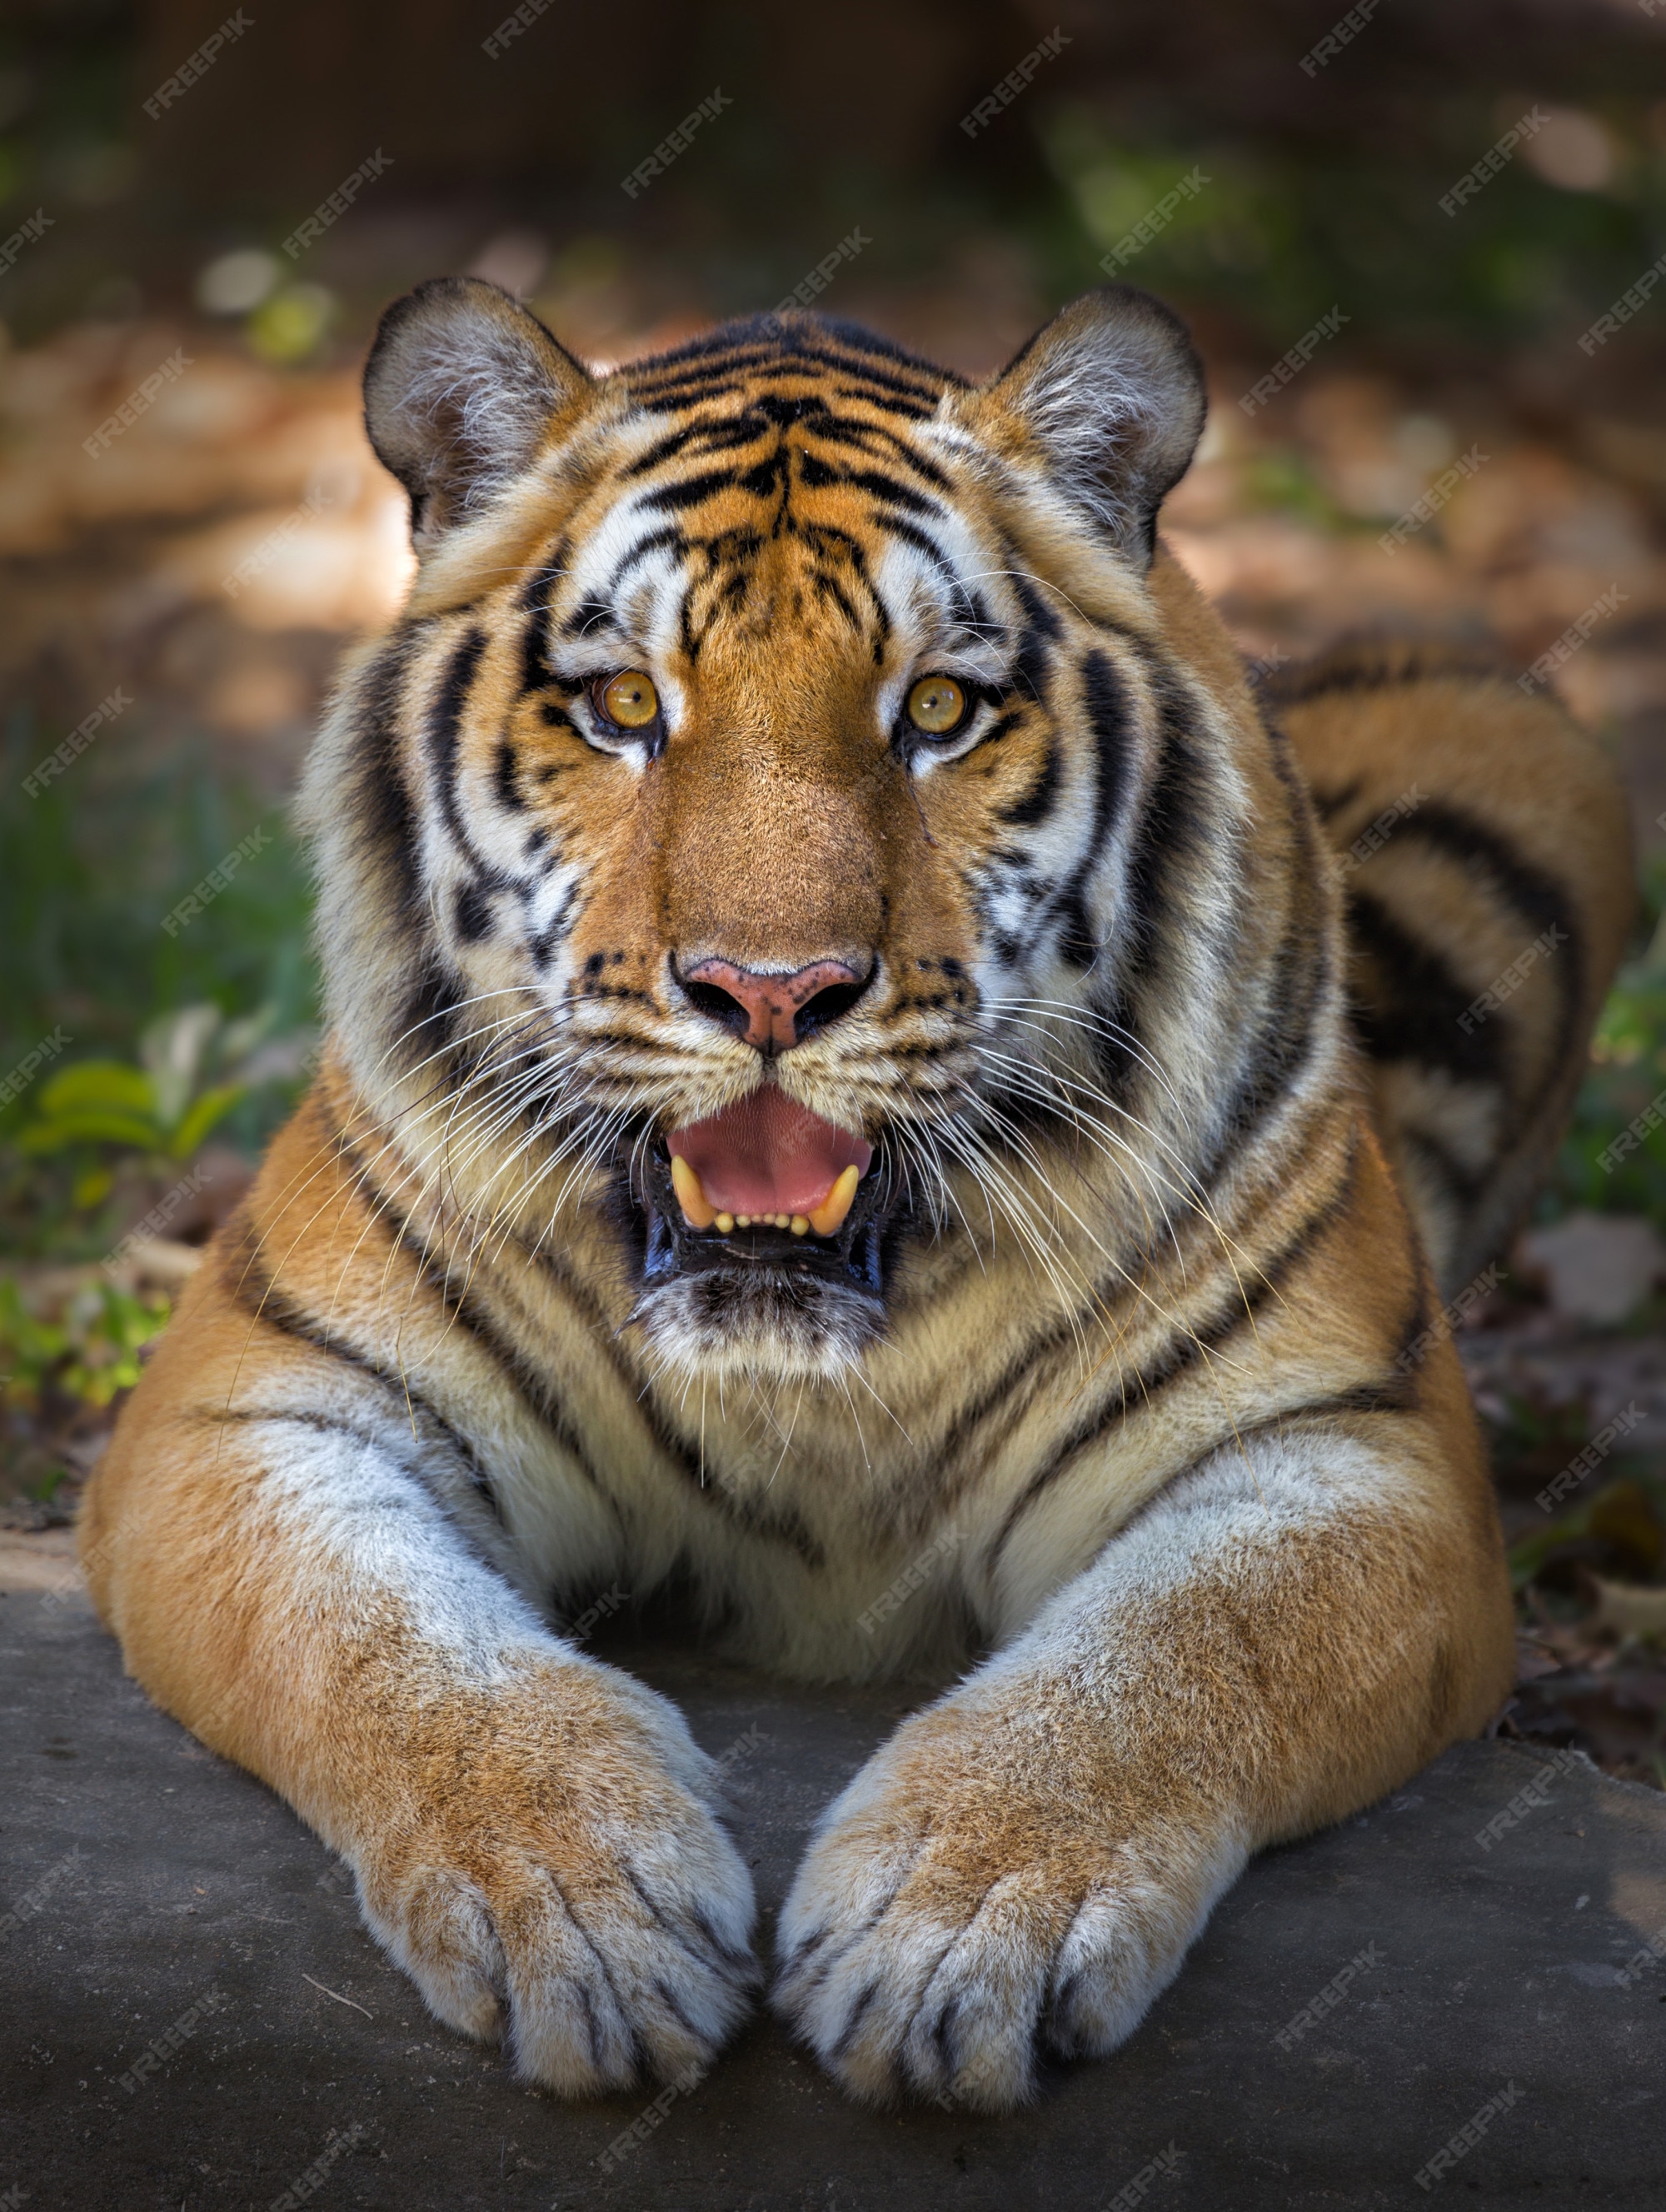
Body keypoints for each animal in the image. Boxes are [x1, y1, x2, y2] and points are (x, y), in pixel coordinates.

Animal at [77, 276, 1628, 2105]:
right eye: (623, 706)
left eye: (938, 712)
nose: (770, 991)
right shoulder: (255, 1411)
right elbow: (391, 1652)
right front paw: (587, 1908)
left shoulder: (1349, 1453)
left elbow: (1170, 1661)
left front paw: (954, 1930)